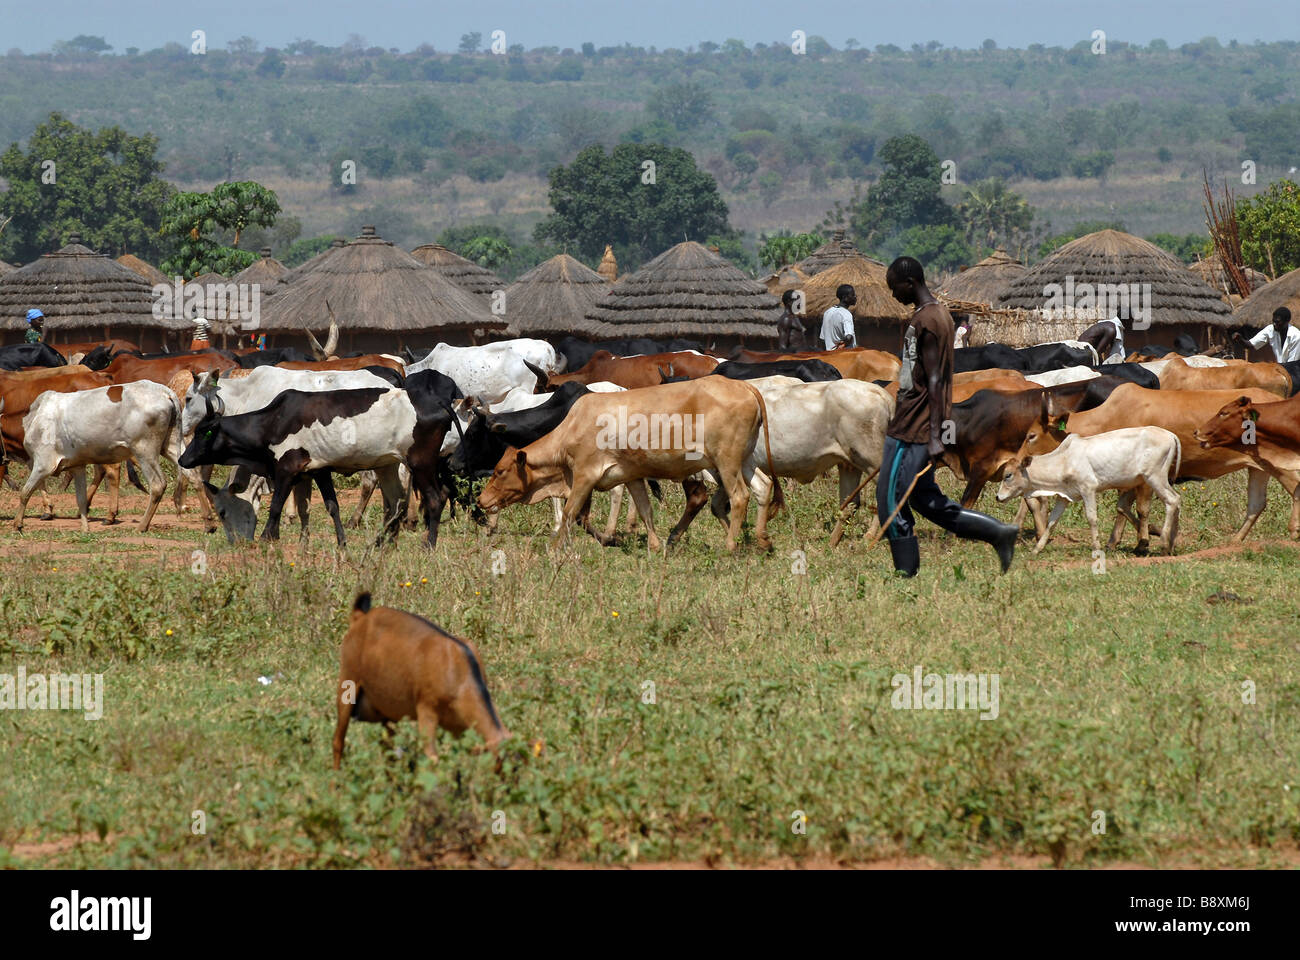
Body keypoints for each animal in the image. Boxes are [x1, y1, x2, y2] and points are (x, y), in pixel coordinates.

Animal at [15, 379, 182, 530]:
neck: (34, 417)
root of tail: (164, 391)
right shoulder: (77, 466)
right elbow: (81, 500)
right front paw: (85, 529)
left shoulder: (43, 464)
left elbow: (25, 492)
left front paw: (18, 524)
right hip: (170, 446)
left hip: (144, 451)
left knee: (158, 485)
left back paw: (141, 526)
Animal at [993, 426, 1180, 554]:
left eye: (1008, 475)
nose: (998, 497)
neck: (1064, 460)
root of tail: (1170, 434)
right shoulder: (1064, 496)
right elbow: (1052, 522)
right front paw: (1036, 549)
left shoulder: (1088, 488)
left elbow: (1092, 518)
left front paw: (1097, 547)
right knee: (1177, 500)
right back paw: (1171, 544)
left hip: (1155, 477)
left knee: (1172, 500)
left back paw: (1164, 543)